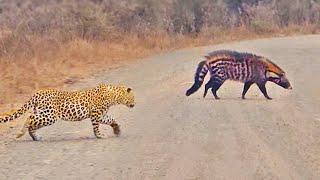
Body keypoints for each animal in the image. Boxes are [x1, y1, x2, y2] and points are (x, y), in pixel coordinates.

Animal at [0, 83, 135, 141]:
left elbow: (112, 119)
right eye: (132, 97)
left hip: (43, 113)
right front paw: (99, 136)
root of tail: (38, 93)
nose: (134, 104)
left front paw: (117, 130)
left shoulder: (101, 115)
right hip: (50, 115)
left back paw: (36, 137)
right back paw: (20, 133)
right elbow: (96, 127)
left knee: (32, 125)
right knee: (29, 119)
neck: (115, 96)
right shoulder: (96, 114)